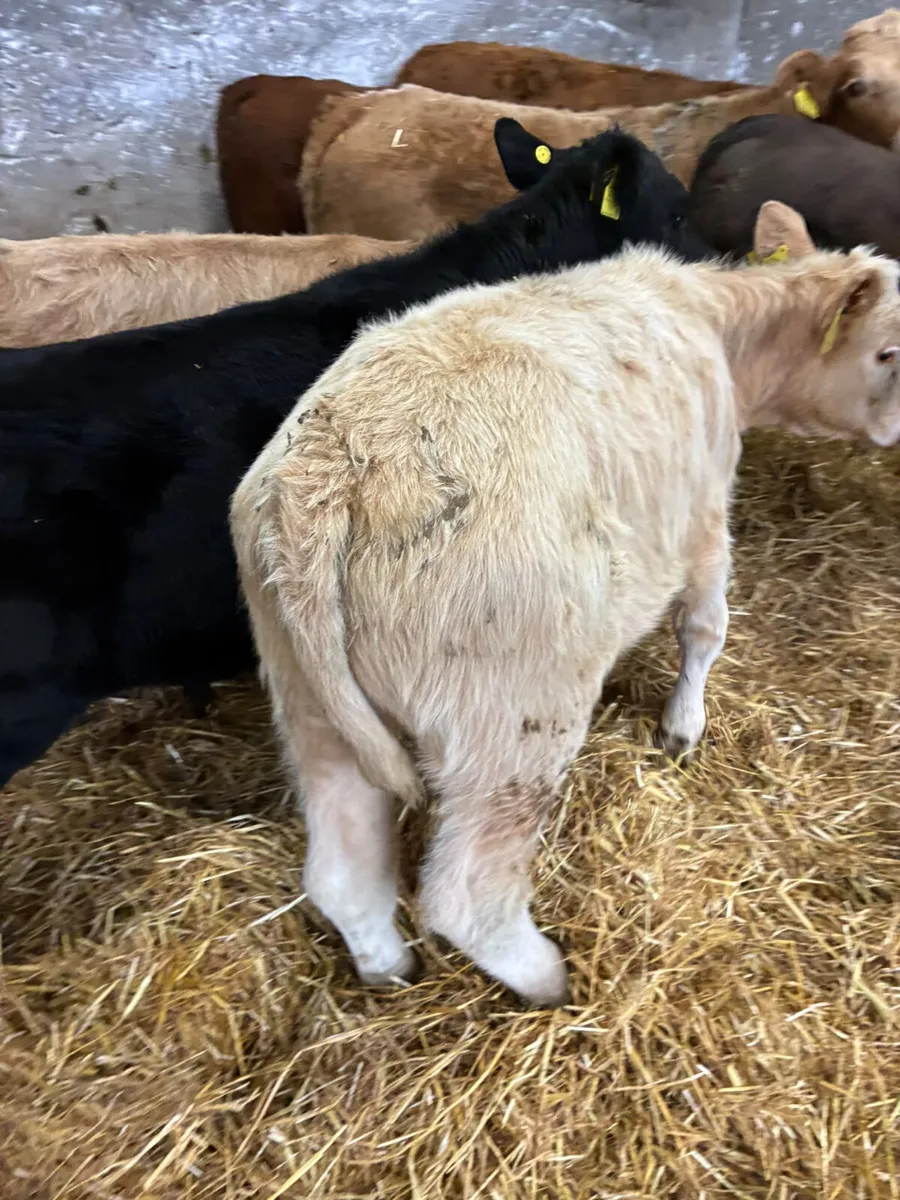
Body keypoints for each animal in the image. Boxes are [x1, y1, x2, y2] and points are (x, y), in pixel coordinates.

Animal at [230, 201, 900, 1008]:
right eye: (890, 352)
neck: (712, 321)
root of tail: (336, 465)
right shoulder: (705, 511)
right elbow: (704, 627)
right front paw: (683, 728)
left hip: (313, 706)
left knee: (343, 872)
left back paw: (388, 968)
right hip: (509, 719)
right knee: (467, 894)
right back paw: (549, 978)